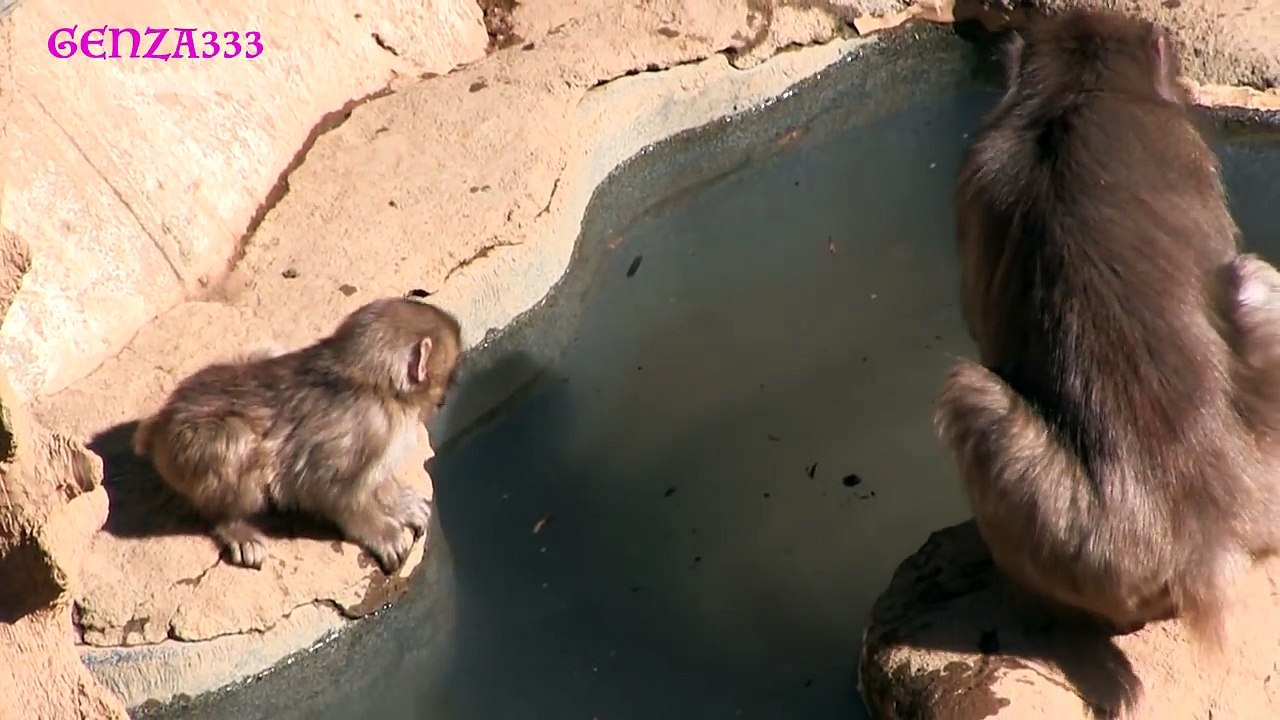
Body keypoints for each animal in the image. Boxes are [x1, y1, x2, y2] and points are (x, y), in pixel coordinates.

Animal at [132, 293, 462, 574]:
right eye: (448, 375)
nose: (445, 397)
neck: (375, 386)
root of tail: (160, 422)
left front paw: (397, 500)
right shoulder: (370, 424)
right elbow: (326, 486)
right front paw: (381, 532)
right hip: (184, 449)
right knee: (237, 439)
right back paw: (233, 524)